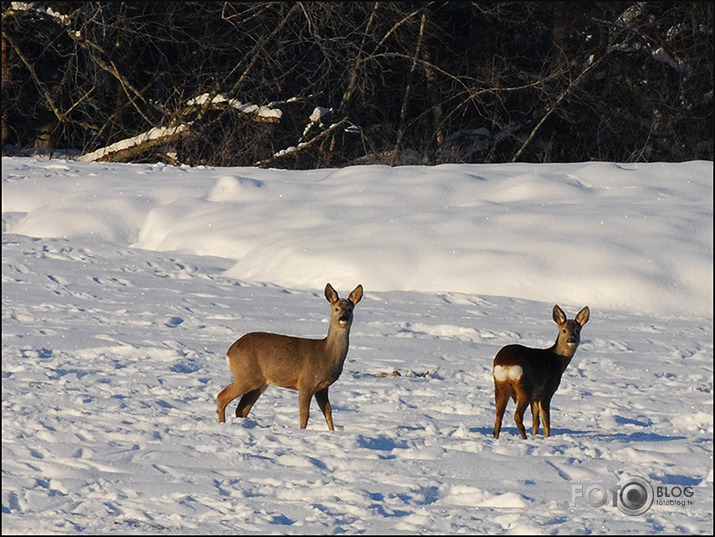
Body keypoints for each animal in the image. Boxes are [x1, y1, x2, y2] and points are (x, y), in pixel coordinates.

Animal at [217, 282, 364, 430]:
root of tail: (230, 352)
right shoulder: (306, 383)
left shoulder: (323, 387)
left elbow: (328, 411)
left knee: (241, 409)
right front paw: (302, 431)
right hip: (246, 376)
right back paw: (222, 424)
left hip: (258, 383)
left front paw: (332, 432)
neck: (326, 354)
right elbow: (304, 414)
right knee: (222, 396)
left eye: (350, 309)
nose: (343, 318)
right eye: (336, 308)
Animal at [492, 304, 592, 438]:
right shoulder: (546, 391)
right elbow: (546, 421)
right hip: (524, 387)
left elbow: (536, 421)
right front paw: (546, 437)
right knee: (517, 415)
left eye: (577, 330)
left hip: (500, 385)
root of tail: (506, 364)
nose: (571, 340)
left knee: (498, 417)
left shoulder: (535, 396)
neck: (558, 361)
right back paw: (524, 438)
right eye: (564, 330)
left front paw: (536, 436)